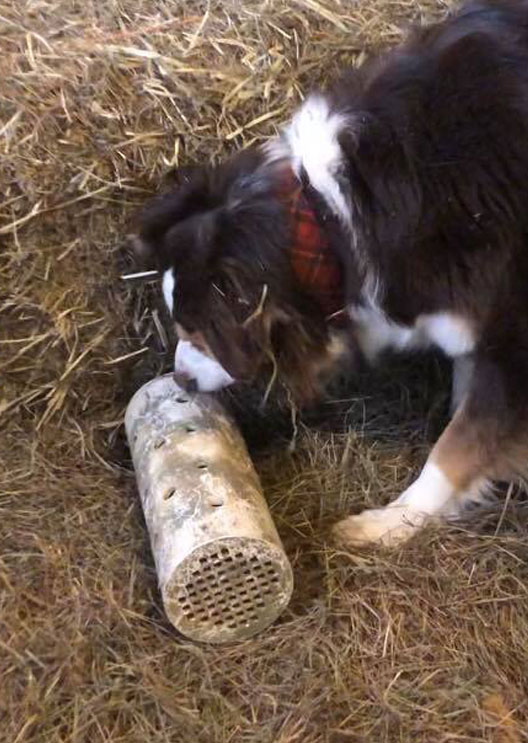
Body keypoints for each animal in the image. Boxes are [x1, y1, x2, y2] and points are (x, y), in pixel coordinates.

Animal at [133, 0, 528, 548]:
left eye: (196, 327)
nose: (182, 379)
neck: (327, 217)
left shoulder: (513, 340)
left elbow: (459, 444)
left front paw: (389, 523)